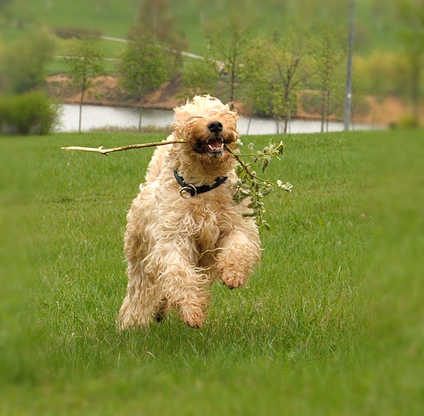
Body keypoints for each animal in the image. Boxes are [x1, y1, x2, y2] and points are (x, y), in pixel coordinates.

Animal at [117, 96, 260, 330]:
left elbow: (238, 248)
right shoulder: (174, 239)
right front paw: (193, 311)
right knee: (140, 293)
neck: (204, 187)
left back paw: (158, 312)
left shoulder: (237, 225)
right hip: (140, 261)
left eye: (219, 111)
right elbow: (180, 275)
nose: (215, 125)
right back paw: (131, 325)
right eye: (191, 117)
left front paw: (233, 274)